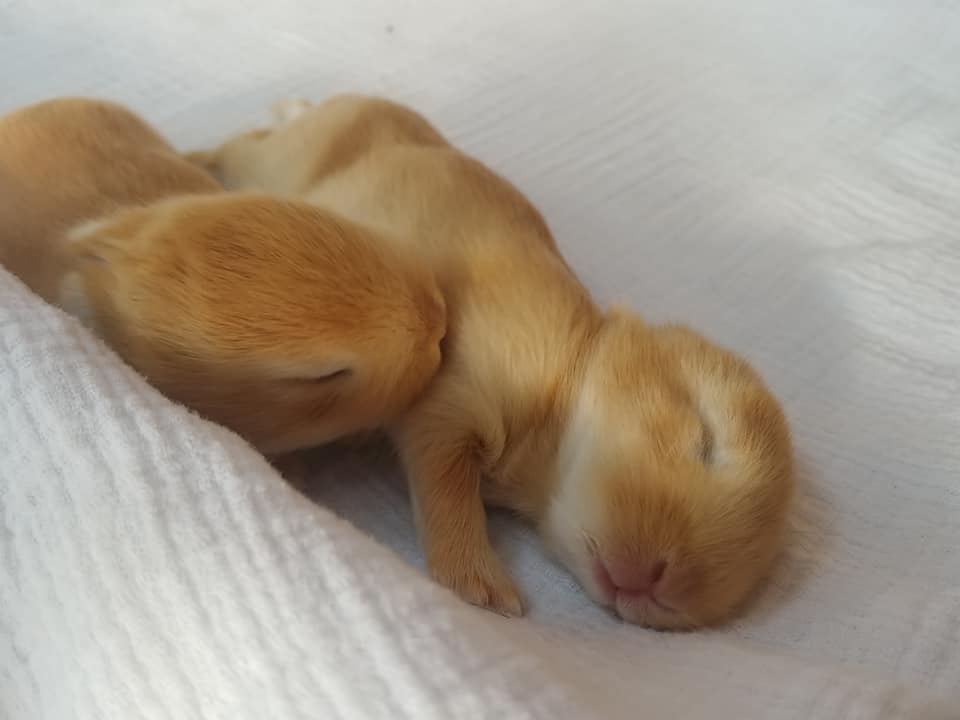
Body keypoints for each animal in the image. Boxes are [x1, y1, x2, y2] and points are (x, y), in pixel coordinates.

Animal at [186, 94, 794, 629]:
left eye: (756, 567)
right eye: (705, 440)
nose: (664, 588)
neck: (572, 371)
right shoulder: (453, 399)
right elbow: (446, 482)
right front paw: (483, 587)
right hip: (282, 159)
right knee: (243, 144)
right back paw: (196, 156)